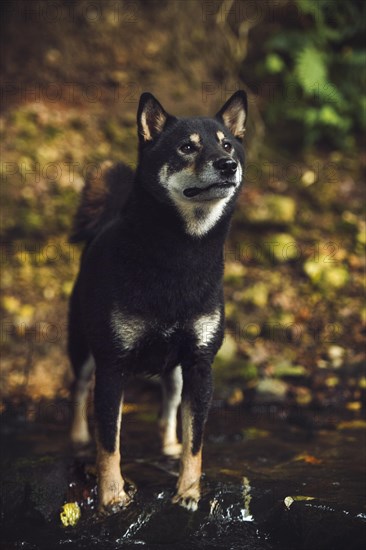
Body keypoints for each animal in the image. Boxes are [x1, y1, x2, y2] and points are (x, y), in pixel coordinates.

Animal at [67, 92, 247, 516]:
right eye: (187, 147)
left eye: (227, 145)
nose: (228, 164)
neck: (183, 255)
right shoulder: (112, 365)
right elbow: (109, 444)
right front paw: (112, 496)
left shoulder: (200, 364)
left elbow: (195, 439)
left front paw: (189, 492)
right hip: (83, 348)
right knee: (78, 391)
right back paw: (77, 438)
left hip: (177, 370)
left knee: (169, 410)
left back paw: (168, 446)